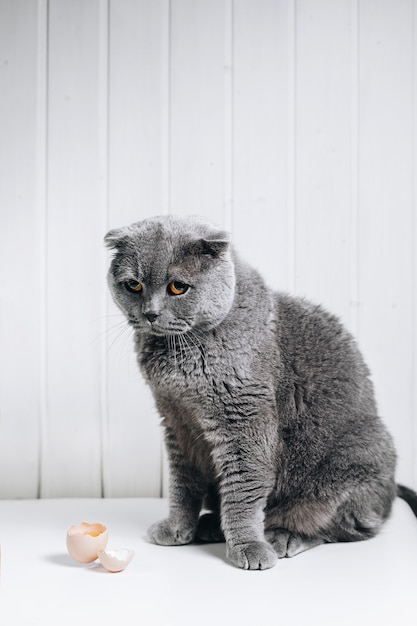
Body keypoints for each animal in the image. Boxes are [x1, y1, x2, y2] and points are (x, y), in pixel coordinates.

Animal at [105, 216, 416, 572]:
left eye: (177, 287)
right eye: (133, 285)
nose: (150, 313)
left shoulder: (245, 421)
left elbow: (243, 490)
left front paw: (249, 547)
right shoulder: (176, 421)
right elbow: (182, 483)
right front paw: (178, 528)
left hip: (353, 459)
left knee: (340, 525)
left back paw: (282, 536)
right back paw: (210, 526)